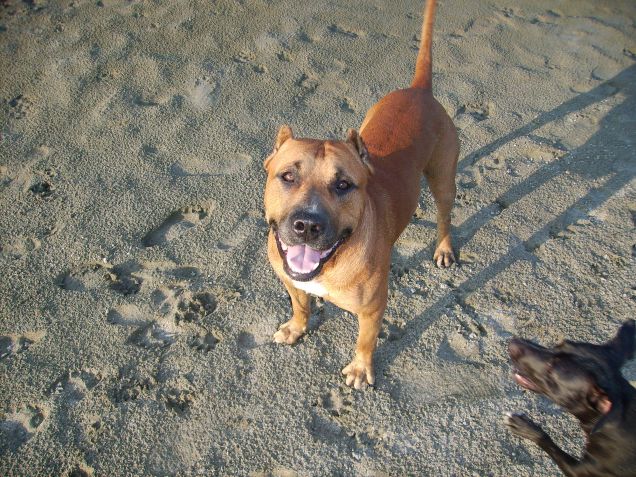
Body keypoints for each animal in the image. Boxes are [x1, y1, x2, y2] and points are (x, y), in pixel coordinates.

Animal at [262, 0, 458, 386]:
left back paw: (443, 247)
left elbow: (365, 340)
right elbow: (300, 305)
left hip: (443, 181)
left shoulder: (372, 308)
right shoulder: (291, 281)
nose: (307, 225)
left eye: (343, 185)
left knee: (445, 215)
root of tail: (419, 91)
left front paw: (360, 368)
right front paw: (296, 327)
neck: (328, 264)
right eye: (287, 176)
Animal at [506, 320, 636, 476]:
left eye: (550, 371)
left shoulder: (580, 470)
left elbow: (547, 441)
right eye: (559, 344)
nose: (512, 342)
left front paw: (524, 426)